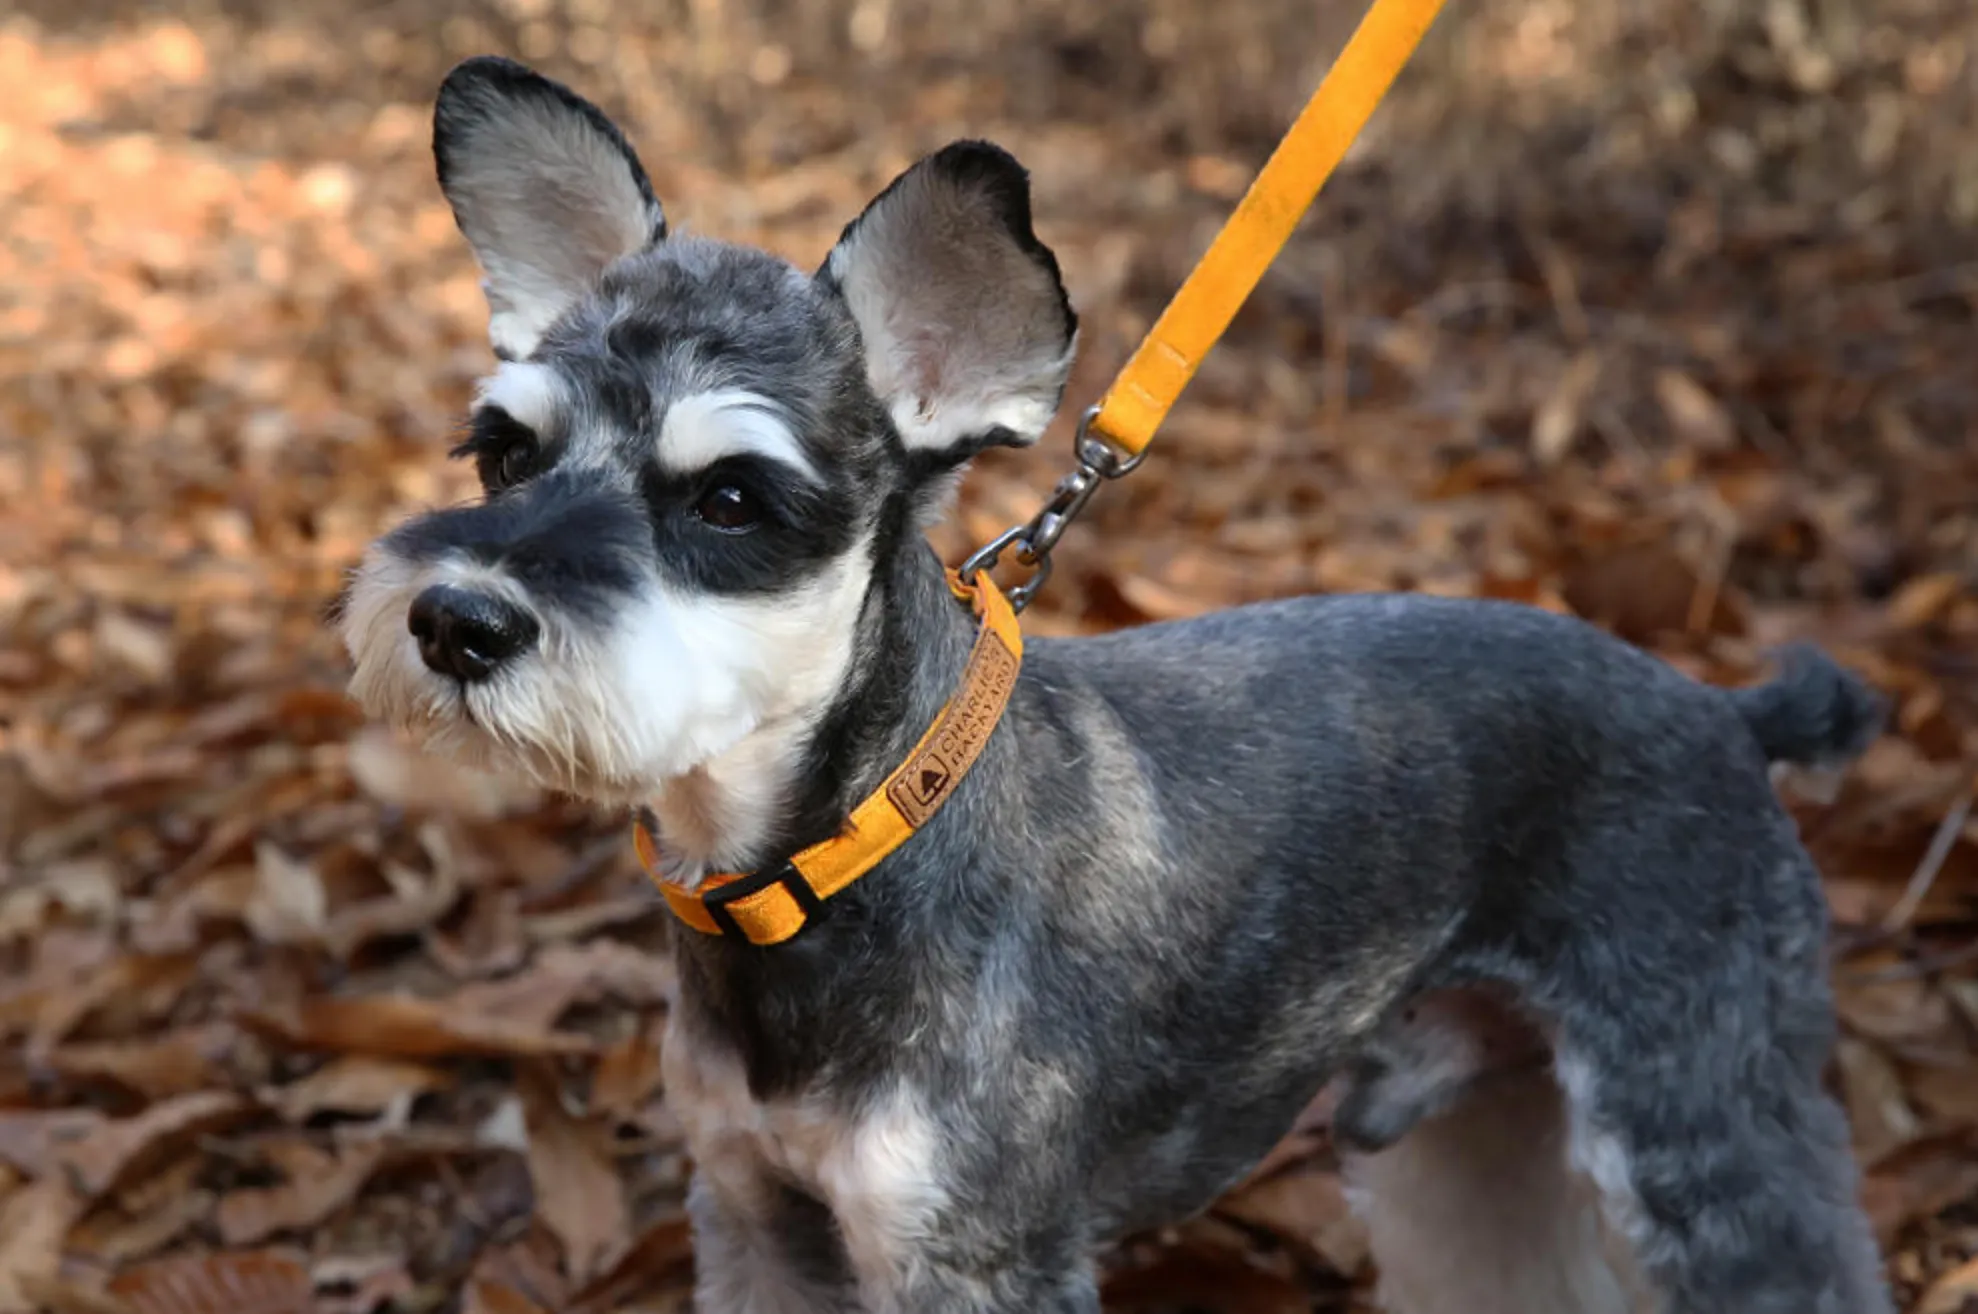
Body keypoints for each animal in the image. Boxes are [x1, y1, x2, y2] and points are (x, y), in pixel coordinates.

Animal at [340, 53, 1898, 1314]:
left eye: (729, 498)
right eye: (503, 450)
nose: (456, 620)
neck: (848, 845)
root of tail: (1723, 716)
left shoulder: (971, 1254)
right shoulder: (757, 1214)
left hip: (1701, 1116)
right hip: (1482, 1130)